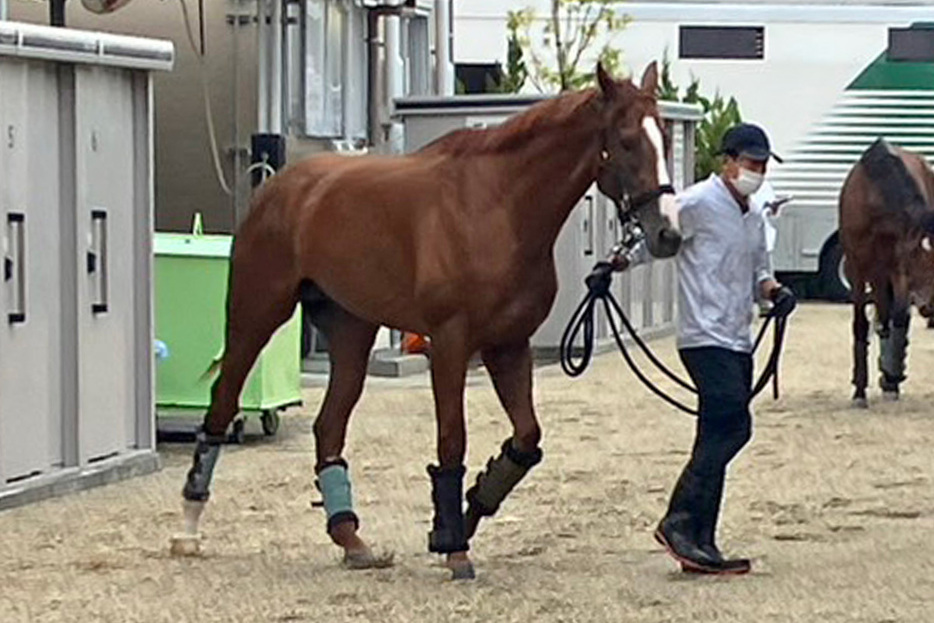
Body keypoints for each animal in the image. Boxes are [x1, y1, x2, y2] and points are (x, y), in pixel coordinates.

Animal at [170, 62, 680, 580]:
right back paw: (189, 528)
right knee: (222, 405)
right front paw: (455, 546)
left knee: (328, 427)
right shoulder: (451, 343)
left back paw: (352, 541)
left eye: (665, 139)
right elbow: (452, 441)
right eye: (626, 141)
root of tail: (279, 188)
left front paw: (464, 515)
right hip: (256, 316)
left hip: (351, 332)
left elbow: (526, 440)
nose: (667, 233)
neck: (498, 207)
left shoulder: (508, 345)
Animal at [844, 138, 934, 408]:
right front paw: (859, 391)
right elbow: (861, 323)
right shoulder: (857, 268)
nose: (930, 307)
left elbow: (899, 317)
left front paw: (892, 376)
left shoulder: (898, 265)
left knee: (890, 317)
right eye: (925, 263)